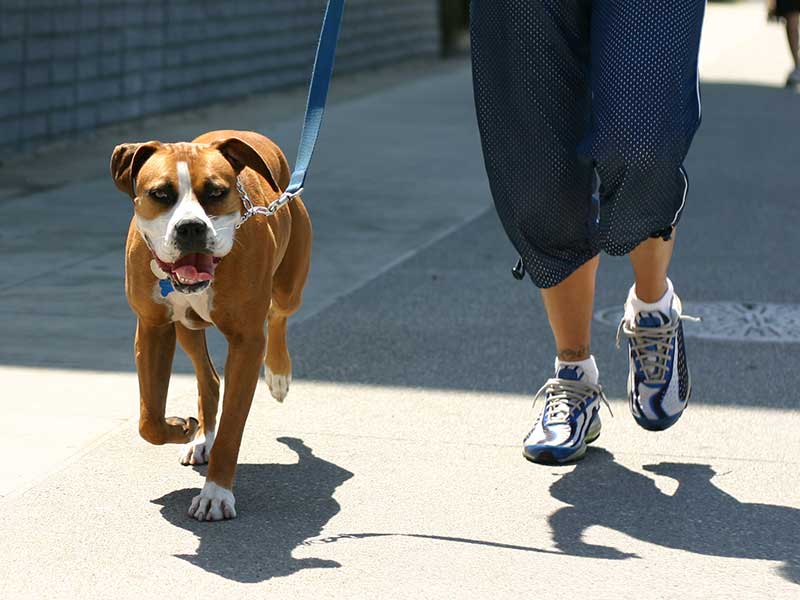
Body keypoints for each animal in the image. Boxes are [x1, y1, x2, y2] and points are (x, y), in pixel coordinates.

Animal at [111, 130, 310, 520]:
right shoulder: (152, 328)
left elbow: (232, 427)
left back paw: (279, 374)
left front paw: (216, 494)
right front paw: (182, 428)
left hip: (289, 287)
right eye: (161, 194)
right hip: (186, 328)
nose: (191, 227)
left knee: (278, 315)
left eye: (216, 192)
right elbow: (149, 420)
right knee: (209, 379)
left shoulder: (247, 342)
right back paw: (202, 437)